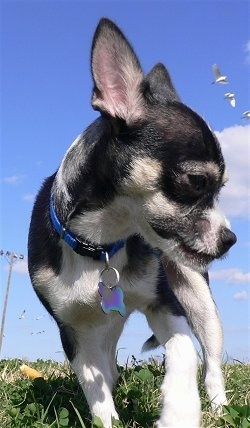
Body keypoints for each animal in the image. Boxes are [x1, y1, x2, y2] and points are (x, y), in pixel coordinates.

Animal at [28, 17, 237, 428]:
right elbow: (97, 397)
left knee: (211, 360)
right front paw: (108, 414)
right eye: (197, 181)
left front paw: (180, 411)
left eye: (221, 188)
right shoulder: (73, 334)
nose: (230, 238)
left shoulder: (166, 305)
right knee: (109, 366)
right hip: (103, 328)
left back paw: (219, 406)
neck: (100, 245)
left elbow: (185, 351)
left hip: (199, 300)